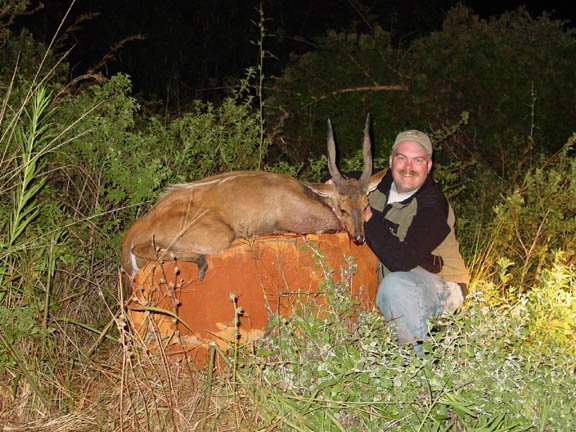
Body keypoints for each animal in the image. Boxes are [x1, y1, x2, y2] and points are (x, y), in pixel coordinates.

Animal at [120, 116, 384, 296]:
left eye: (365, 203)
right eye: (342, 208)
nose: (359, 238)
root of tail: (140, 225)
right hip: (217, 236)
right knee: (144, 249)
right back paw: (201, 262)